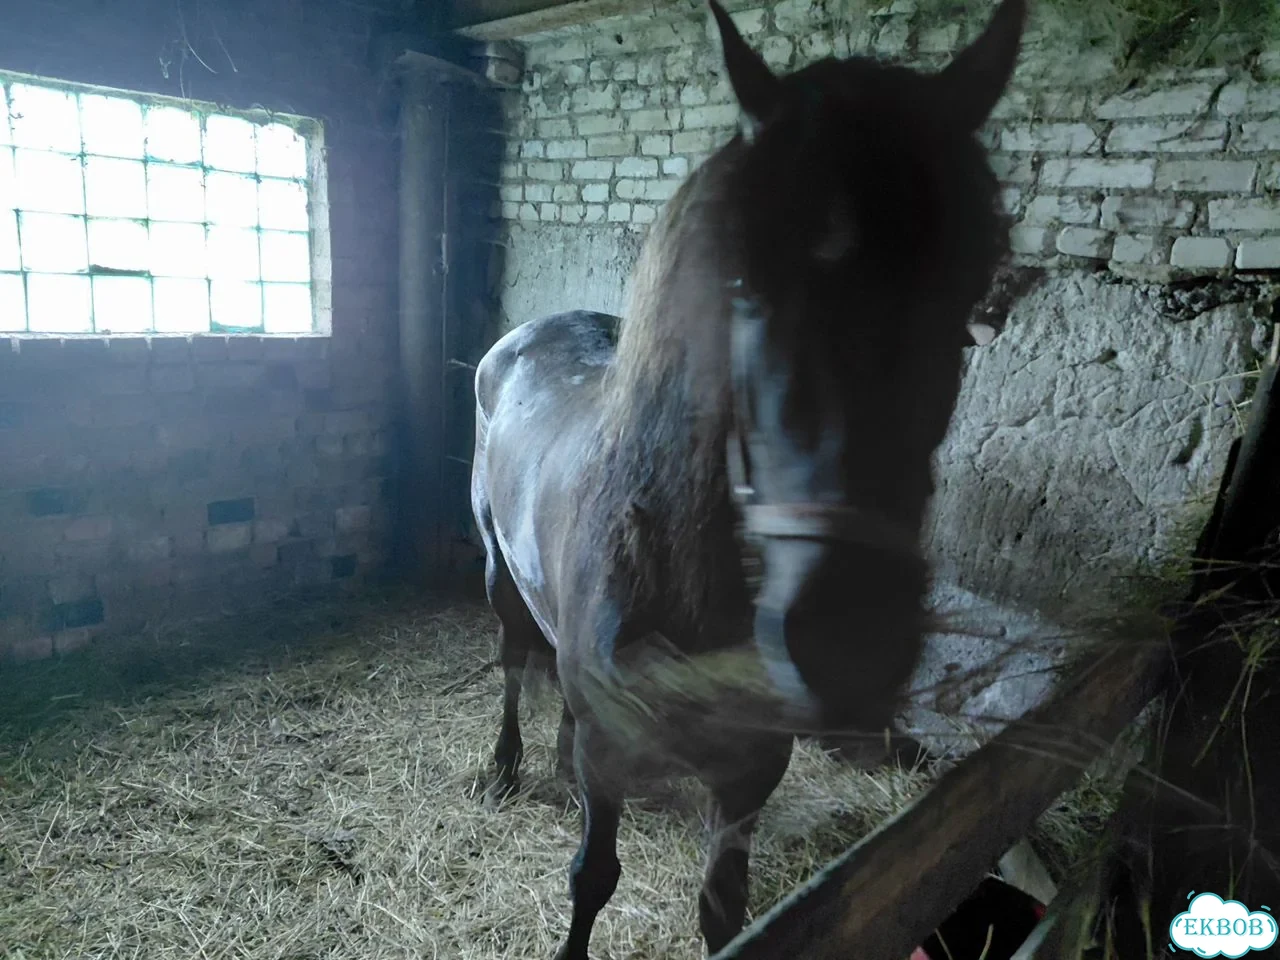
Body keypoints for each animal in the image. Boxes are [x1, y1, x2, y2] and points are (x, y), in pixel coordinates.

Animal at [469, 2, 1026, 956]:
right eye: (739, 282)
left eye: (969, 298)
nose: (850, 638)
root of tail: (519, 340)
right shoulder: (615, 755)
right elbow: (592, 877)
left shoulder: (751, 769)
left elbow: (724, 909)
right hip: (499, 576)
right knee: (512, 659)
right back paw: (508, 766)